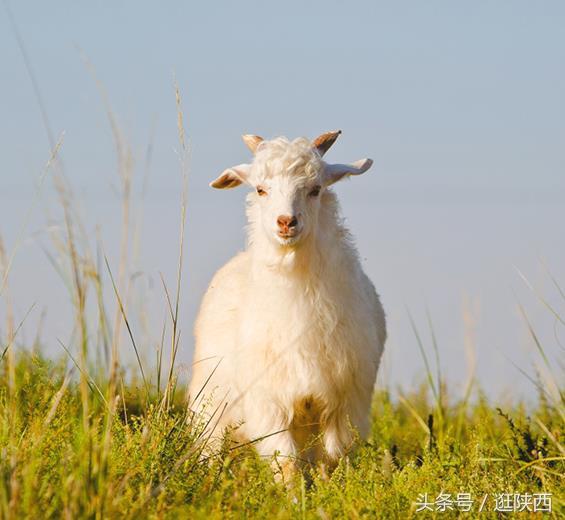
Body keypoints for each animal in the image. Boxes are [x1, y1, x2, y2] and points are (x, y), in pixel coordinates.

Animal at [188, 131, 384, 476]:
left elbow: (333, 458)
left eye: (315, 189)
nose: (286, 223)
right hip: (211, 406)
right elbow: (286, 463)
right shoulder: (269, 404)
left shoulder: (344, 405)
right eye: (260, 189)